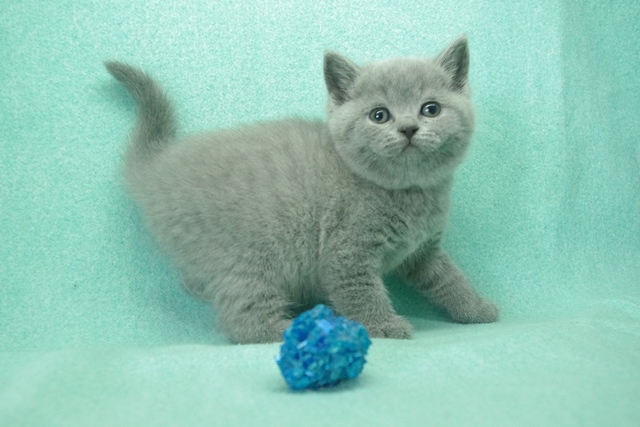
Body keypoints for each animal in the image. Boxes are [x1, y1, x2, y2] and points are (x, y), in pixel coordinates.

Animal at [105, 35, 498, 344]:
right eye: (379, 115)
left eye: (430, 109)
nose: (408, 128)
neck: (408, 193)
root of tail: (158, 165)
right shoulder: (345, 251)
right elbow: (361, 291)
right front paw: (382, 325)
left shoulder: (423, 251)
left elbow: (448, 279)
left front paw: (476, 308)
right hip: (248, 257)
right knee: (242, 320)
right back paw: (288, 330)